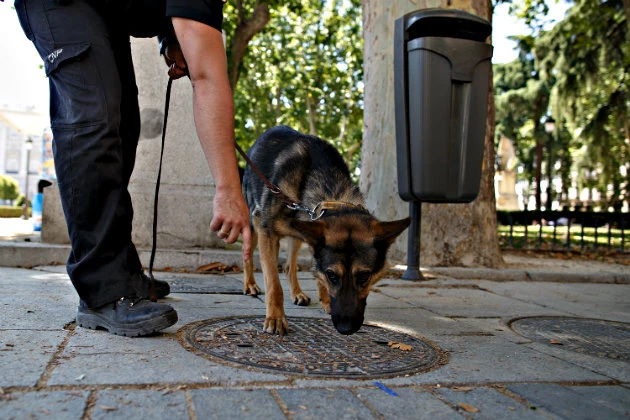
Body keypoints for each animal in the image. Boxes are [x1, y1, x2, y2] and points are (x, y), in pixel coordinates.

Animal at [241, 126, 410, 336]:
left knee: (289, 266)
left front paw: (326, 301)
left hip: (298, 234)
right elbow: (273, 283)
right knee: (247, 253)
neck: (329, 189)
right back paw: (250, 284)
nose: (346, 328)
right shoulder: (267, 232)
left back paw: (297, 293)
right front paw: (276, 318)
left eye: (364, 276)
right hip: (254, 224)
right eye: (332, 276)